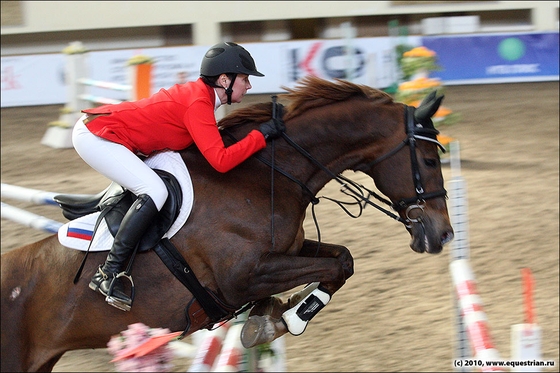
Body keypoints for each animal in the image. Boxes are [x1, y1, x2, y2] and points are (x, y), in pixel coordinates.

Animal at [0, 75, 452, 370]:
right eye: (430, 160)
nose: (442, 235)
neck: (265, 172)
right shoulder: (244, 276)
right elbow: (333, 265)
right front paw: (283, 318)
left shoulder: (285, 252)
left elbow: (342, 259)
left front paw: (275, 317)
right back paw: (112, 283)